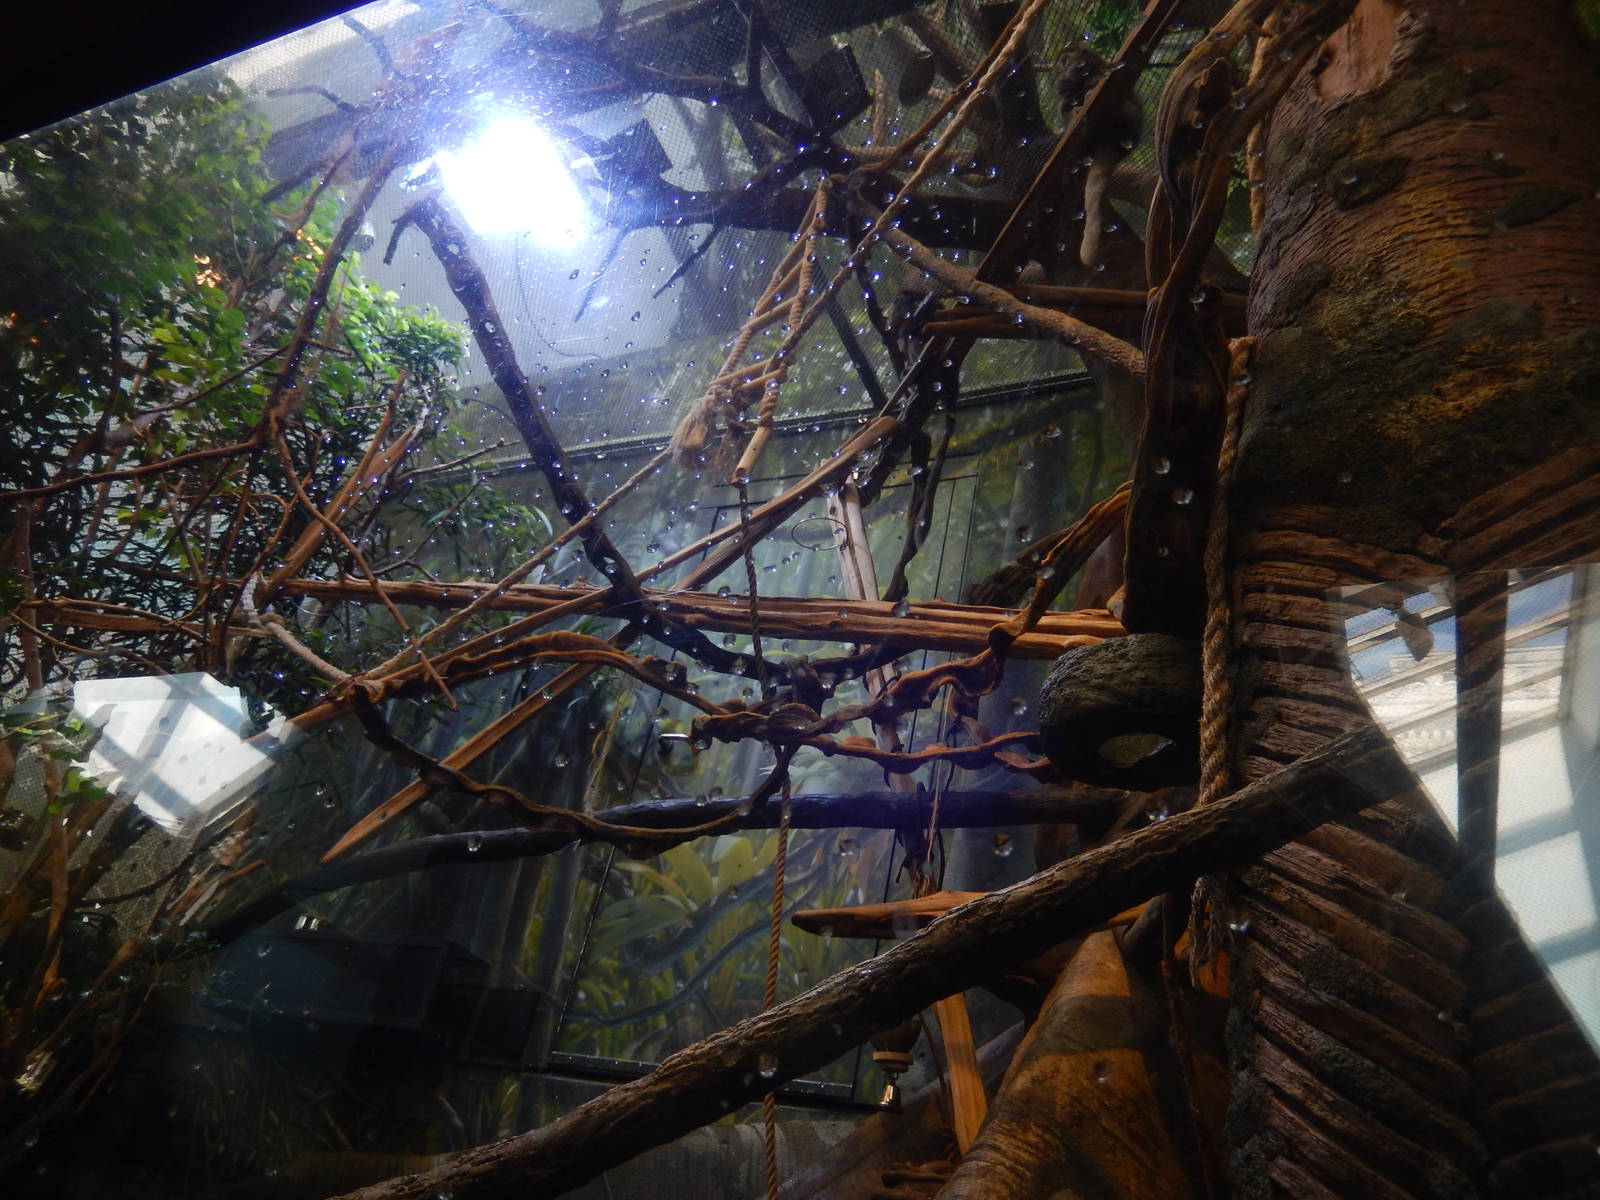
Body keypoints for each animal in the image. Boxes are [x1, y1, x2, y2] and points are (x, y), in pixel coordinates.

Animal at [1054, 46, 1143, 271]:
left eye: (1065, 60)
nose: (1061, 68)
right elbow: (1064, 107)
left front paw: (1092, 83)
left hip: (1130, 126)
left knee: (1129, 106)